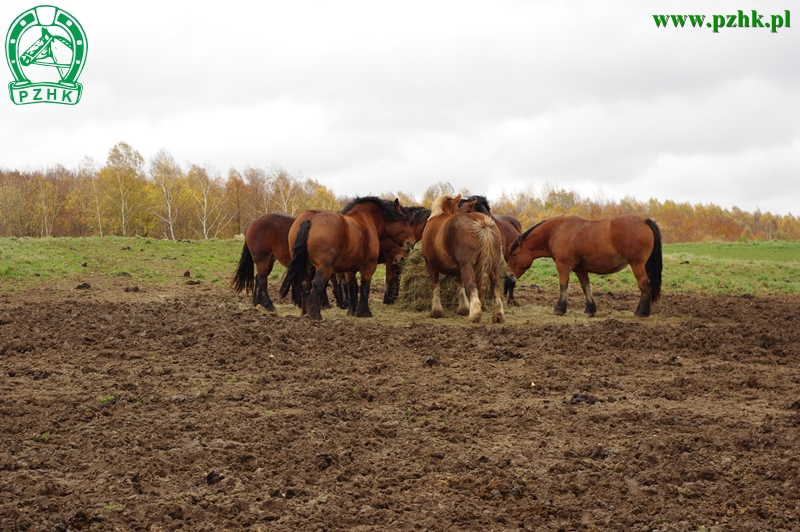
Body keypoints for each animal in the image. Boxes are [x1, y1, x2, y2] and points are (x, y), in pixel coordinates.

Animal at [280, 196, 416, 318]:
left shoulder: (350, 270)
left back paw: (304, 313)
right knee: (317, 284)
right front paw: (364, 312)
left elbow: (352, 287)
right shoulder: (369, 266)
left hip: (305, 267)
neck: (365, 221)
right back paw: (315, 314)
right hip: (324, 267)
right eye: (404, 220)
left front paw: (352, 311)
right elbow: (365, 286)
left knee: (305, 285)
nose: (412, 241)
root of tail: (310, 219)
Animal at [422, 193, 504, 322]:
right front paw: (464, 308)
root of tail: (482, 223)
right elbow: (460, 285)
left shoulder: (430, 265)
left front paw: (436, 311)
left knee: (471, 286)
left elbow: (435, 286)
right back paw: (498, 315)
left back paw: (474, 315)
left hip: (467, 266)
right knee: (495, 288)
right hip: (494, 265)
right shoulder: (458, 268)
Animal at [506, 215, 664, 316]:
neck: (557, 231)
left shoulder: (563, 267)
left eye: (514, 254)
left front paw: (560, 308)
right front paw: (590, 309)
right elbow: (586, 287)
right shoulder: (580, 269)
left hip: (637, 265)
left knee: (644, 284)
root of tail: (645, 222)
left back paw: (641, 312)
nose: (508, 277)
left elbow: (563, 286)